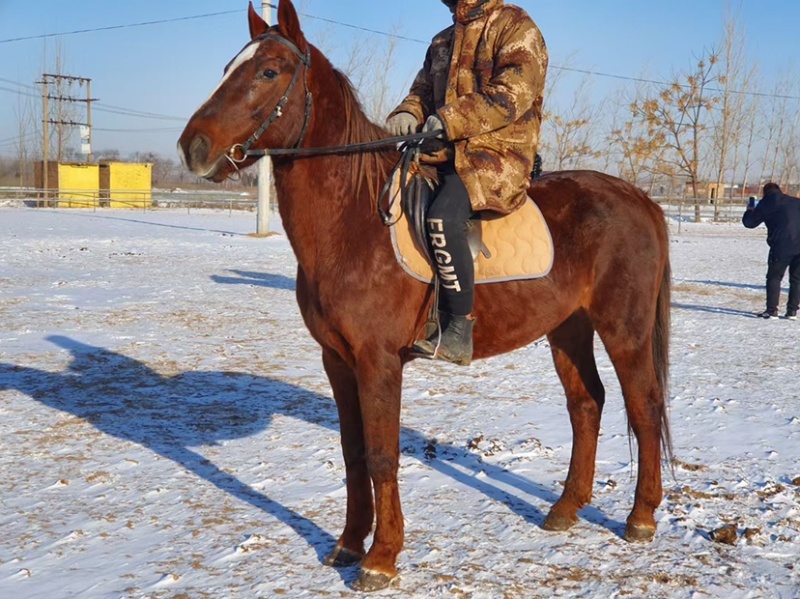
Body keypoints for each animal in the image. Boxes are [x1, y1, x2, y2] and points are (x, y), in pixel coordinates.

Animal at [178, 0, 672, 591]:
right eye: (231, 66)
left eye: (269, 71)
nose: (193, 147)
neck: (355, 222)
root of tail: (641, 199)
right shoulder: (337, 360)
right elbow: (352, 452)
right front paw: (349, 544)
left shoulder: (378, 361)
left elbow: (381, 455)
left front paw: (381, 558)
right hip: (567, 329)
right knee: (587, 404)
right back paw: (565, 509)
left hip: (624, 330)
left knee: (644, 406)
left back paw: (641, 518)